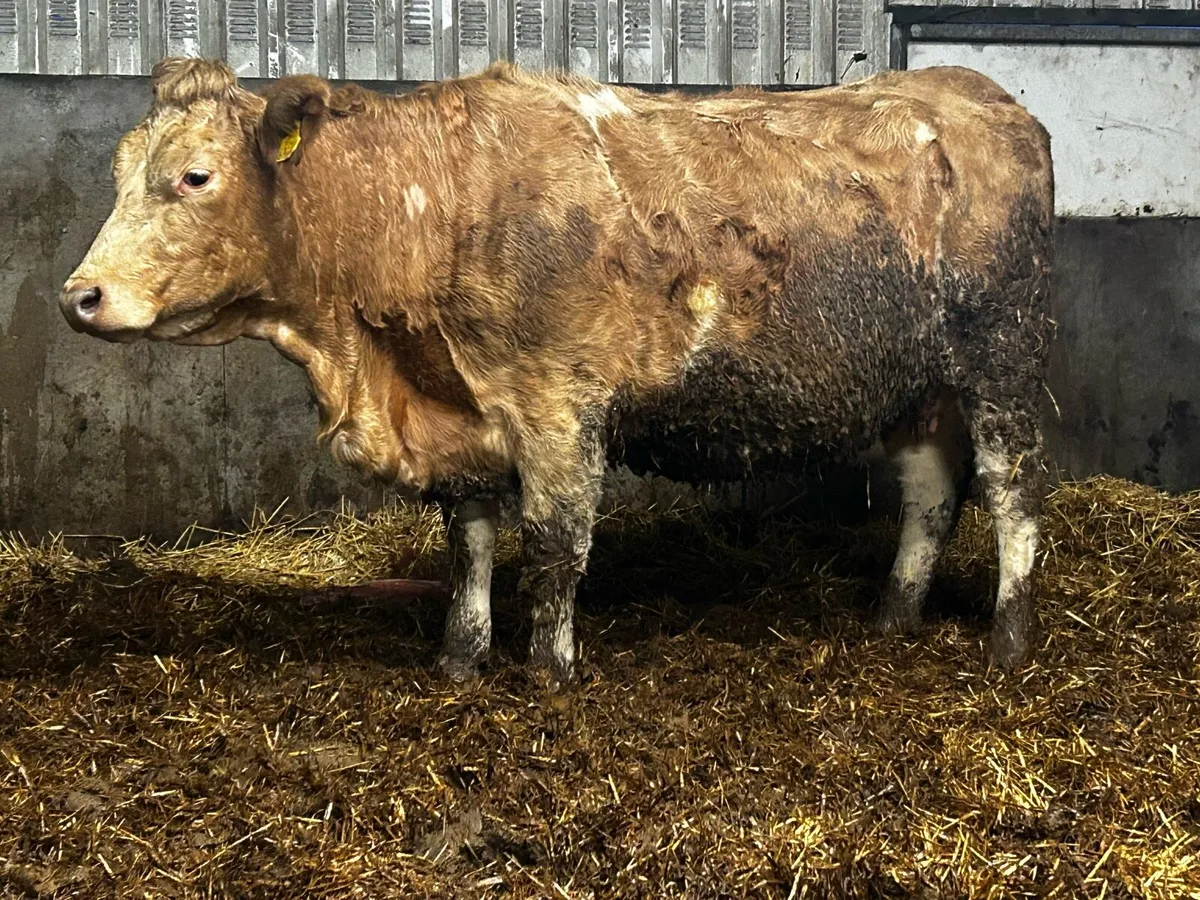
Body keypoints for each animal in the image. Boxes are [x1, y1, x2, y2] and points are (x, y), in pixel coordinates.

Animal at [60, 58, 1054, 685]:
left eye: (195, 176)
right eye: (116, 176)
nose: (80, 296)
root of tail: (974, 90)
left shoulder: (559, 405)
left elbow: (554, 544)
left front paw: (548, 671)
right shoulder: (464, 416)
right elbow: (467, 543)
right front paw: (461, 660)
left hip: (1001, 362)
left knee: (1012, 494)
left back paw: (1008, 640)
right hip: (917, 386)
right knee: (931, 494)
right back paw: (893, 617)